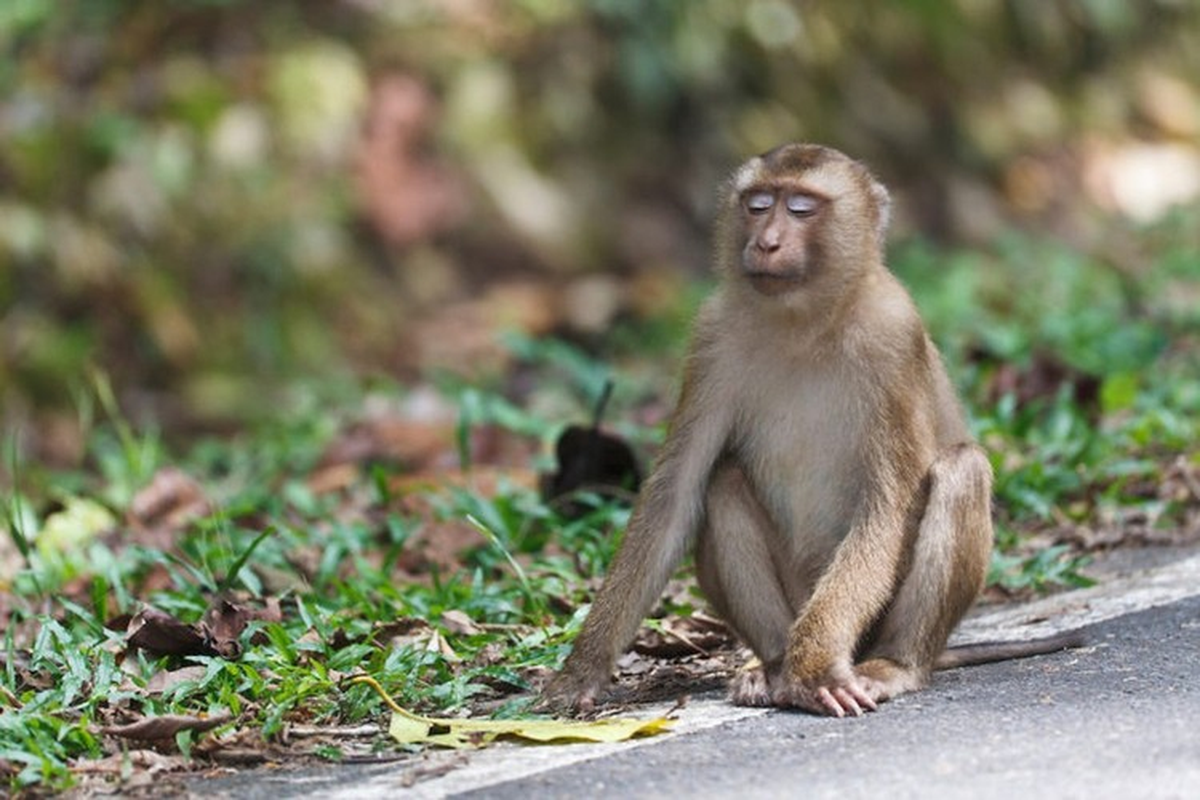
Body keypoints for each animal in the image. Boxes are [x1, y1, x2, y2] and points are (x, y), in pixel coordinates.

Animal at [547, 143, 1089, 719]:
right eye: (759, 205)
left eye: (802, 209)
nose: (766, 242)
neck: (805, 322)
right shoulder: (711, 336)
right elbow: (675, 494)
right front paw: (580, 672)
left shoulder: (892, 334)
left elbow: (886, 508)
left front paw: (816, 671)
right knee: (723, 480)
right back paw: (774, 668)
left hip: (872, 623)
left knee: (962, 468)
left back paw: (891, 665)